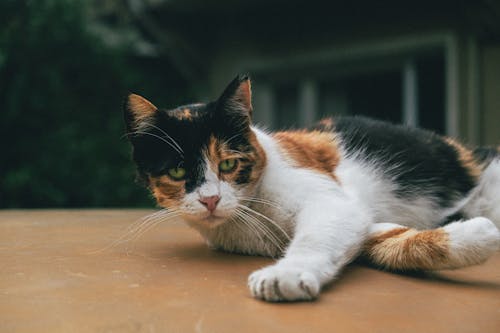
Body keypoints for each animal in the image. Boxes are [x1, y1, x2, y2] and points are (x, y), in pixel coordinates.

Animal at [124, 74, 500, 300]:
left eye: (228, 164)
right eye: (177, 170)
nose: (211, 200)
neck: (251, 215)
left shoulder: (331, 201)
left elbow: (315, 236)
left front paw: (286, 274)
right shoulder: (362, 220)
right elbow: (392, 242)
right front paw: (477, 236)